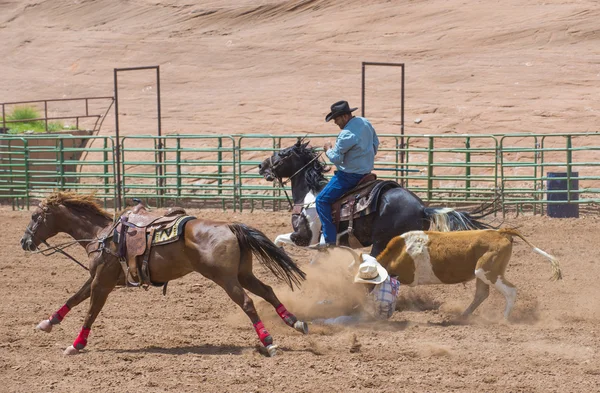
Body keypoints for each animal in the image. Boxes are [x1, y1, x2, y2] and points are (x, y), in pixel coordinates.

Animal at [20, 191, 308, 356]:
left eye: (34, 216)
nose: (24, 242)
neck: (101, 235)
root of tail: (230, 226)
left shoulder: (102, 282)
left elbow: (91, 311)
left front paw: (76, 344)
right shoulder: (98, 277)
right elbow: (74, 298)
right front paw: (48, 322)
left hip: (226, 279)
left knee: (248, 302)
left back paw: (268, 341)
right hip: (243, 274)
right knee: (267, 292)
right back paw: (295, 322)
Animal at [256, 139, 492, 256]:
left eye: (282, 154)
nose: (261, 166)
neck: (309, 193)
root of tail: (422, 208)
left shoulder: (305, 237)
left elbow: (278, 238)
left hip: (381, 241)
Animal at [372, 228, 560, 316]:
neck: (400, 251)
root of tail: (500, 232)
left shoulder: (406, 276)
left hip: (488, 272)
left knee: (511, 291)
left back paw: (504, 318)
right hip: (482, 274)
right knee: (481, 294)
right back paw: (462, 316)